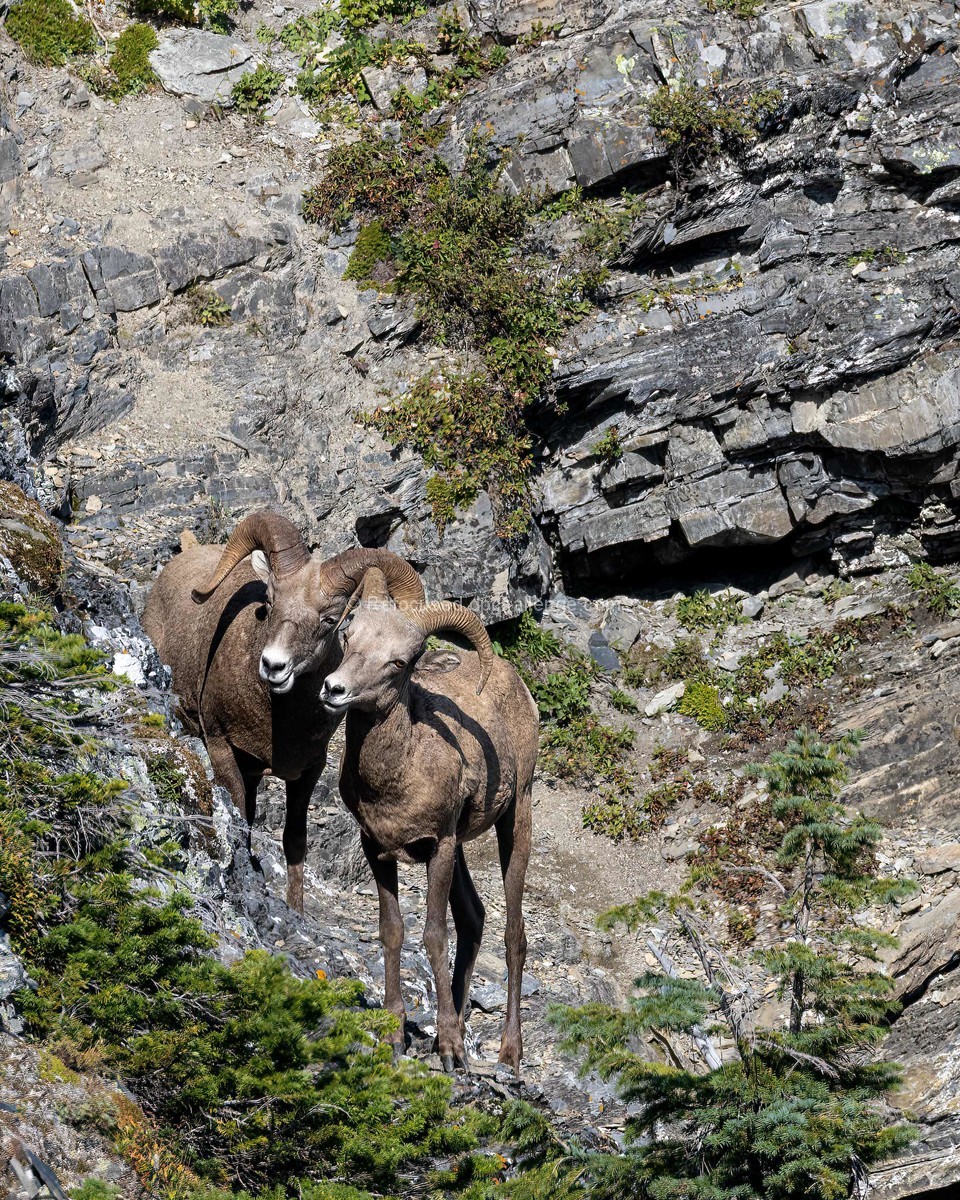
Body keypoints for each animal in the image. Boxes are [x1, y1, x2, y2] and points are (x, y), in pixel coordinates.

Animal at [141, 511, 424, 912]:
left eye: (330, 618)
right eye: (270, 603)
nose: (274, 666)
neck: (278, 723)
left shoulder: (307, 772)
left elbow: (295, 841)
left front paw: (297, 910)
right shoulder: (222, 749)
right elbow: (240, 821)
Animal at [318, 567, 538, 1072]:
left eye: (400, 662)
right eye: (349, 635)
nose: (334, 690)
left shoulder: (438, 847)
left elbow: (435, 936)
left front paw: (451, 1050)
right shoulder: (377, 848)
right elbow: (393, 932)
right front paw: (394, 1035)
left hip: (515, 820)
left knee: (513, 935)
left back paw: (508, 1051)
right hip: (461, 851)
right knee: (474, 917)